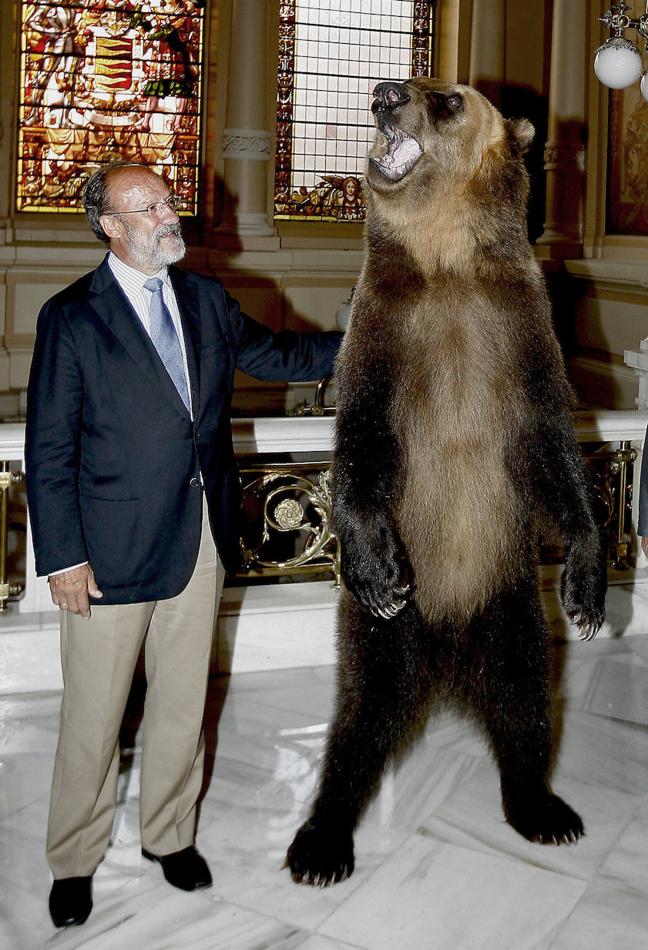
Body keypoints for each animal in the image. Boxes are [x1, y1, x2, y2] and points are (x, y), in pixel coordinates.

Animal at [286, 78, 612, 888]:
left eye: (451, 99)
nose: (383, 92)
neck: (447, 265)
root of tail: (446, 654)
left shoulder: (522, 331)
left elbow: (553, 446)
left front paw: (587, 585)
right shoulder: (383, 332)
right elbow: (362, 443)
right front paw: (375, 564)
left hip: (509, 599)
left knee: (526, 698)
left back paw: (543, 809)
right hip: (386, 632)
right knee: (361, 715)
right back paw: (322, 842)